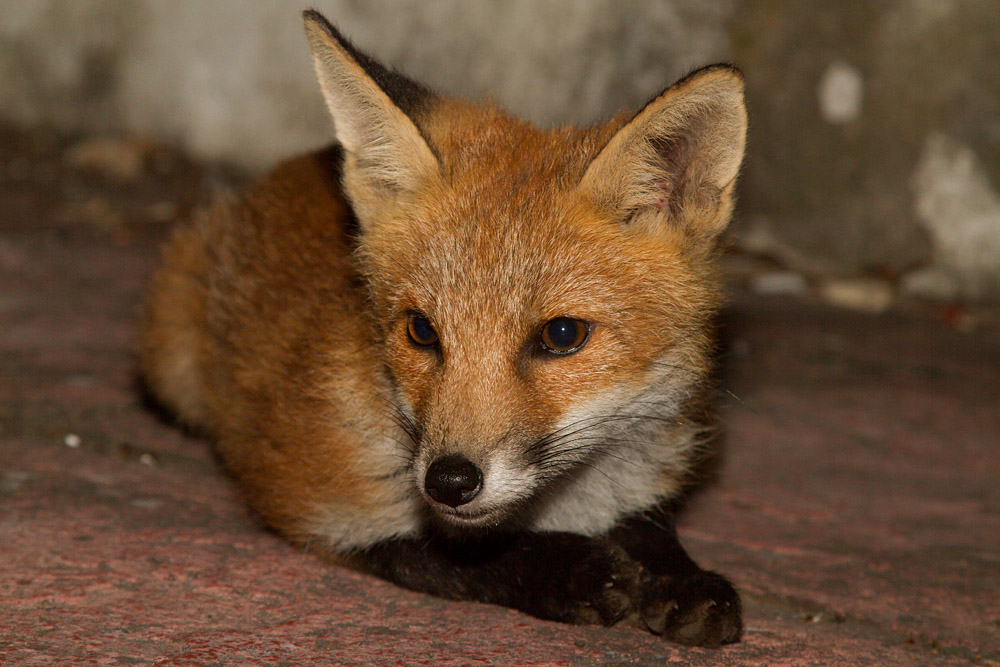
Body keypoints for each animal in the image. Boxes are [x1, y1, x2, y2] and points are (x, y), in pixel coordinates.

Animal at [140, 9, 748, 647]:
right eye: (421, 331)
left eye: (562, 336)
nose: (449, 482)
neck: (563, 505)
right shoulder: (314, 501)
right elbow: (450, 554)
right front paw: (570, 569)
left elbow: (651, 528)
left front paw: (682, 579)